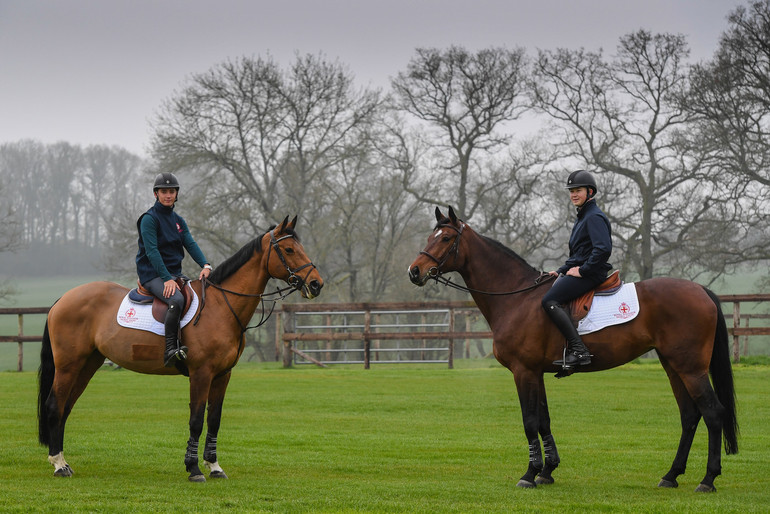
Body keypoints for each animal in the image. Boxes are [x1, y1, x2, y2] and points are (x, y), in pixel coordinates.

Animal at [38, 215, 320, 480]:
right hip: (68, 365)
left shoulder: (222, 375)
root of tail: (64, 298)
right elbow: (196, 421)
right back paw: (58, 464)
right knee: (54, 405)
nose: (317, 284)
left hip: (87, 364)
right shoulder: (201, 373)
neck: (220, 306)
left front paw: (214, 466)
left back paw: (62, 460)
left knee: (65, 407)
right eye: (290, 250)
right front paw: (193, 468)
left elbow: (214, 420)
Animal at [408, 206, 736, 490]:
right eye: (430, 237)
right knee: (690, 416)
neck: (517, 298)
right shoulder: (536, 373)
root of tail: (701, 291)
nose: (415, 271)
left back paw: (708, 479)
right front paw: (547, 471)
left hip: (690, 368)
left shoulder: (523, 371)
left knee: (713, 413)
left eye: (446, 238)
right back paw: (671, 475)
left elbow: (529, 422)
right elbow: (543, 420)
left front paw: (529, 474)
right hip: (673, 366)